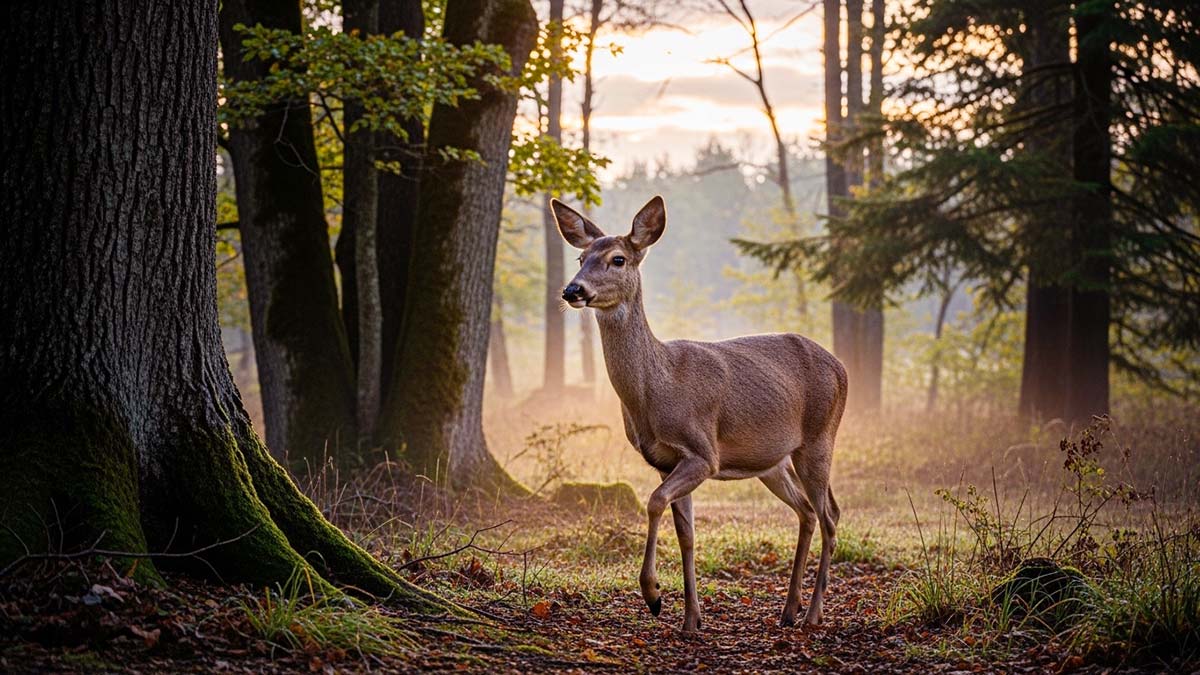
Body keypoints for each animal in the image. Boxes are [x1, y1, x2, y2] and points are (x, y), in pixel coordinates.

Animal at [551, 195, 847, 633]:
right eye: (580, 257)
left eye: (617, 259)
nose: (573, 289)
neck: (656, 390)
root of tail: (843, 368)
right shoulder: (663, 460)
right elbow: (685, 534)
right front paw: (691, 619)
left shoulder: (703, 452)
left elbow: (654, 502)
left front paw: (653, 595)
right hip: (772, 461)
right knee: (808, 512)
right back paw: (789, 610)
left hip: (819, 437)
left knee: (830, 514)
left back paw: (812, 613)